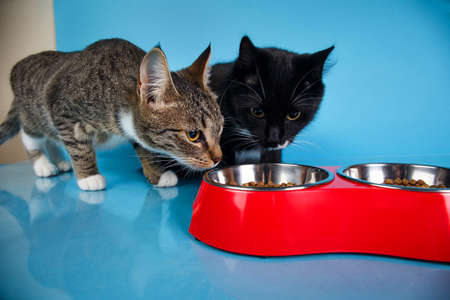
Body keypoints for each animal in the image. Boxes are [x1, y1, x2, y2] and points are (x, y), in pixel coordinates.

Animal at [0, 38, 223, 191]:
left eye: (220, 129)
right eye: (193, 135)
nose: (218, 159)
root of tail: (17, 66)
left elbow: (143, 145)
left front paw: (157, 174)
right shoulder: (62, 107)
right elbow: (78, 145)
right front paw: (88, 177)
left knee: (51, 137)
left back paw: (59, 161)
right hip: (33, 113)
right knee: (30, 134)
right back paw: (43, 164)